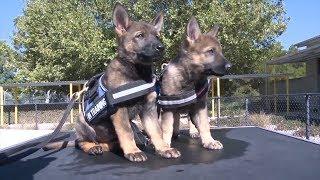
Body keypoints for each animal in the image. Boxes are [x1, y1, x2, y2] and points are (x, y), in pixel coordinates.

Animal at [43, 3, 181, 162]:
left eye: (157, 36)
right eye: (140, 36)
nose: (161, 47)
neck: (137, 72)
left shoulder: (149, 109)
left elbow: (156, 131)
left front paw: (164, 148)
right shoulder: (120, 111)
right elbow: (127, 131)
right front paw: (133, 151)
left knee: (109, 143)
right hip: (81, 121)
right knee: (81, 141)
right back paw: (93, 147)